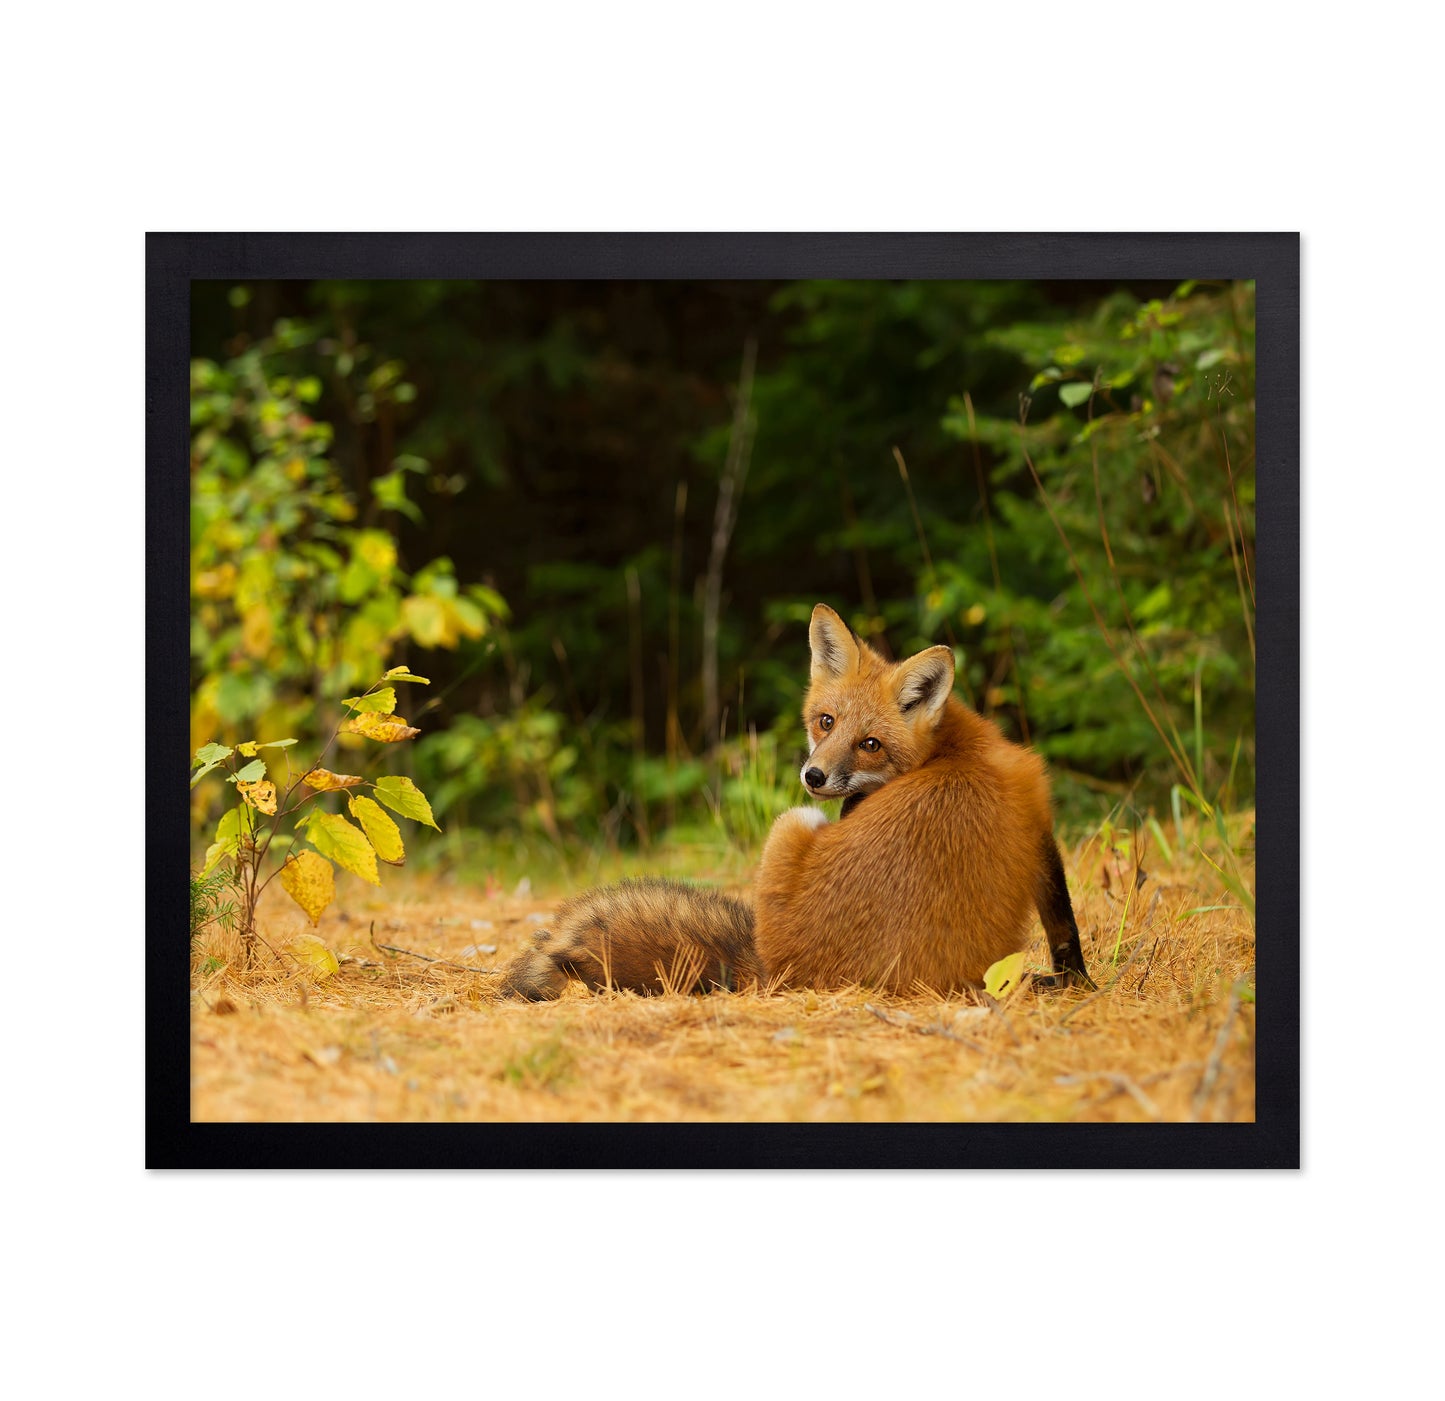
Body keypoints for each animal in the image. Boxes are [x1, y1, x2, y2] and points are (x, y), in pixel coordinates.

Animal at [498, 603, 1091, 1000]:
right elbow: (1063, 922)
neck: (954, 748)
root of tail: (781, 971)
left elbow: (1063, 923)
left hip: (792, 822)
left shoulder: (1037, 816)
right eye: (825, 721)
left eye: (869, 743)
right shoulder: (1036, 822)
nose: (815, 775)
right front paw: (1076, 983)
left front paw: (1075, 982)